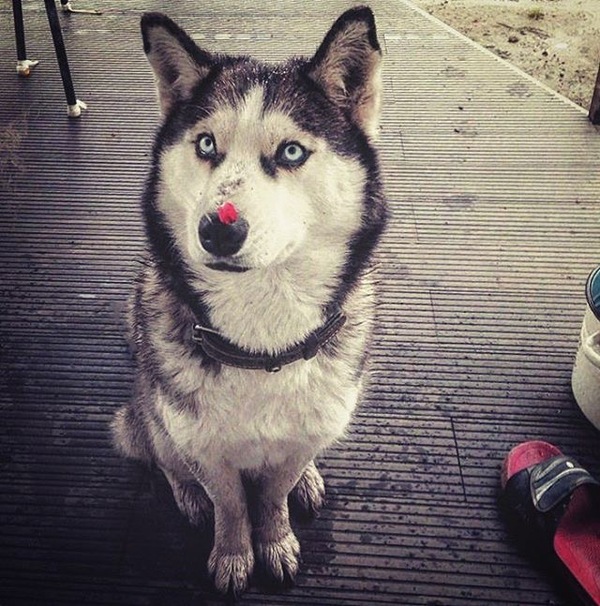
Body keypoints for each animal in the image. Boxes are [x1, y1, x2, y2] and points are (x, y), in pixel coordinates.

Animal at [110, 3, 386, 592]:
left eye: (291, 151)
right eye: (206, 144)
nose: (219, 229)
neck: (262, 348)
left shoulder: (299, 437)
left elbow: (272, 494)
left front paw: (276, 537)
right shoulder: (204, 447)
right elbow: (231, 502)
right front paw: (235, 552)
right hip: (148, 410)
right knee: (162, 454)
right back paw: (188, 496)